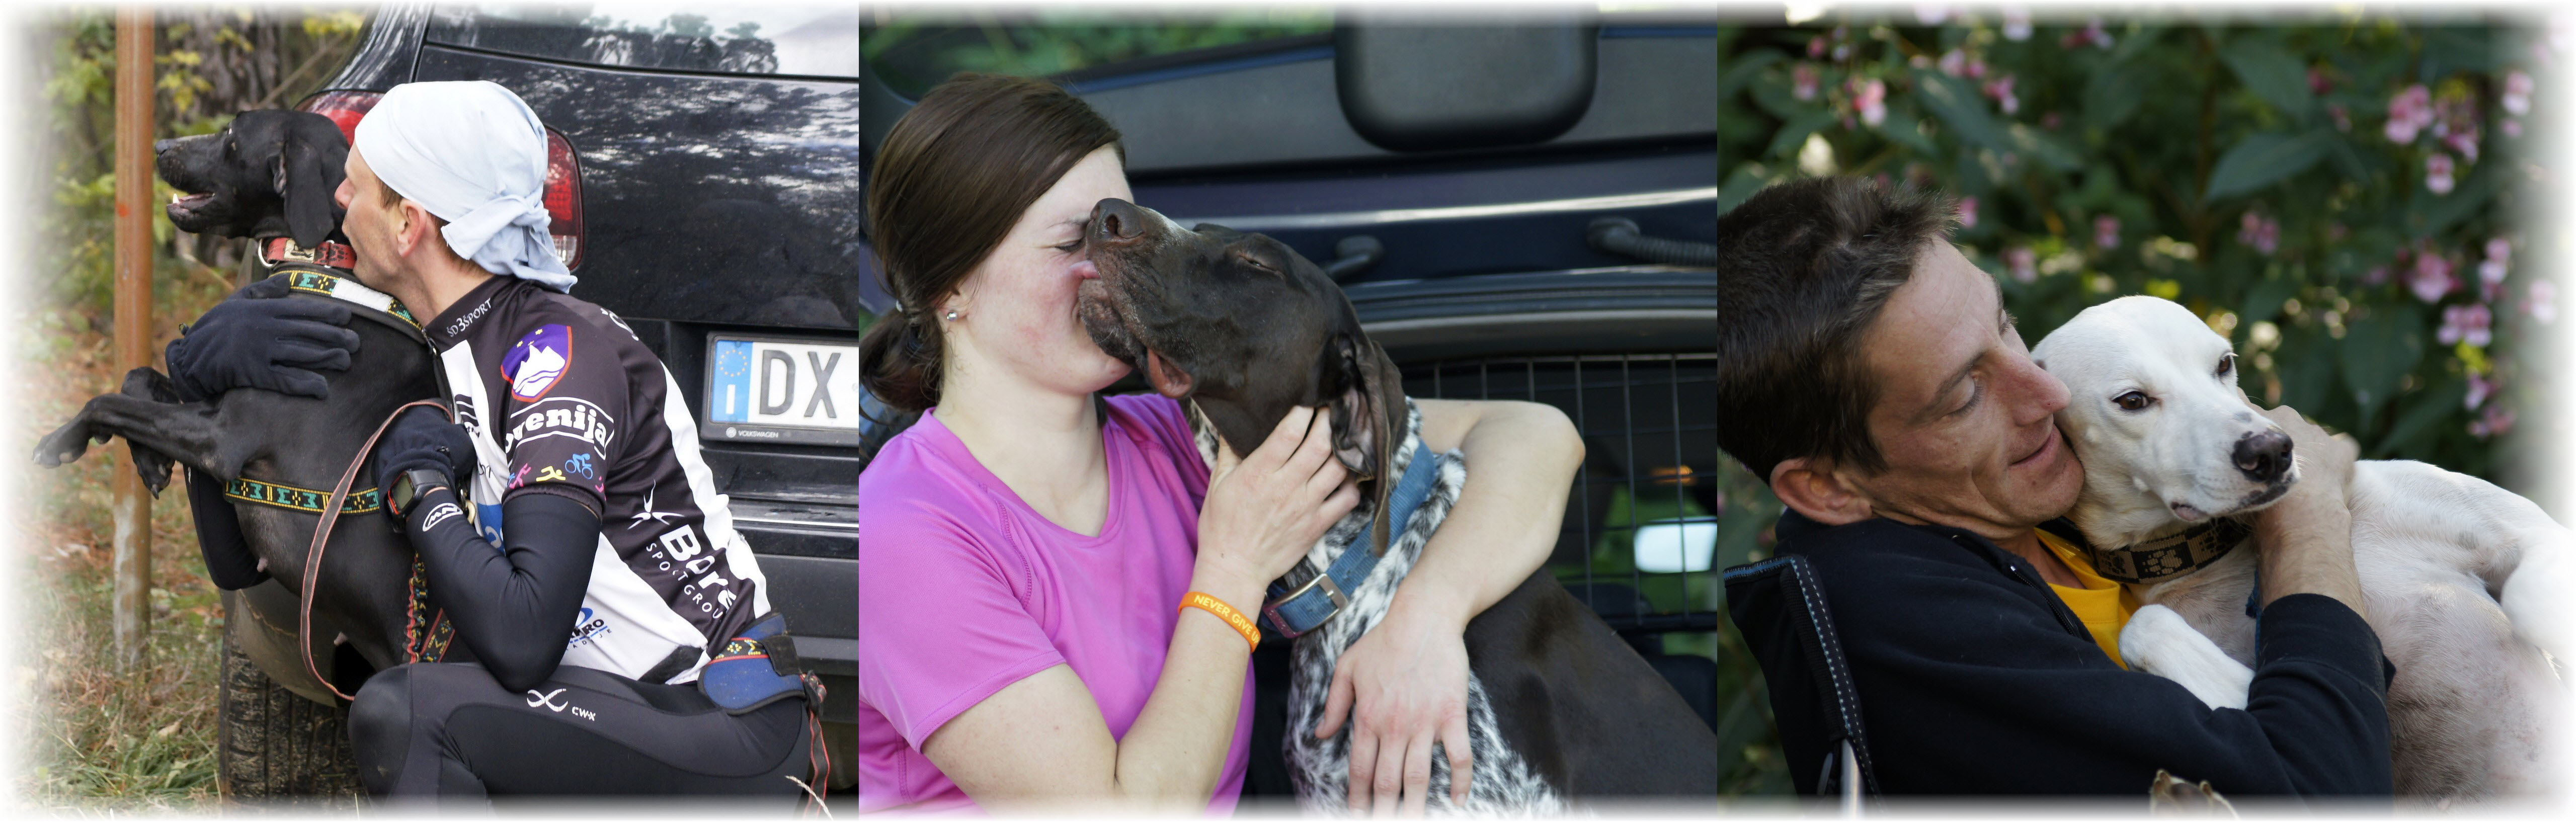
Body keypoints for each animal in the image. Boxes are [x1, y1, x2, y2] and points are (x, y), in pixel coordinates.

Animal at [37, 109, 440, 700]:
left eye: (231, 135)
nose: (160, 146)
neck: (326, 266)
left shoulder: (222, 438)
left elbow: (105, 399)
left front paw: (61, 440)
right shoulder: (218, 397)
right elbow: (138, 377)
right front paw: (149, 461)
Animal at [2032, 295, 2572, 799]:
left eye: (2223, 364)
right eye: (2132, 400)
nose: (2271, 451)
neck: (2225, 552)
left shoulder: (2530, 531)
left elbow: (2525, 594)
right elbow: (2146, 628)